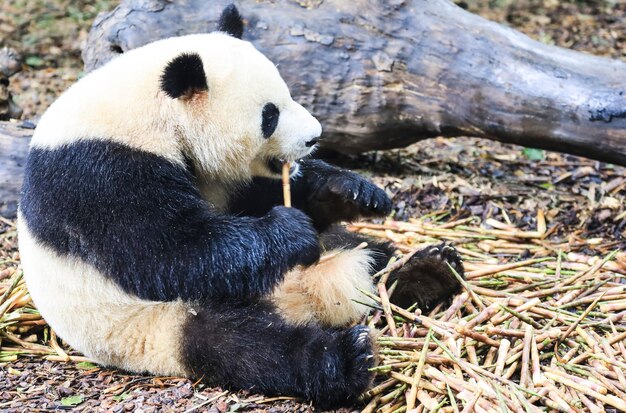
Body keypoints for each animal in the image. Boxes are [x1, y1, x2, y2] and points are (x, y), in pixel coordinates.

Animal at [17, 4, 460, 408]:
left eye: (289, 94)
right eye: (270, 115)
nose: (314, 137)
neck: (149, 108)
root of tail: (303, 298)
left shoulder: (212, 174)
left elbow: (252, 197)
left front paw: (351, 191)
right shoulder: (98, 172)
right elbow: (166, 251)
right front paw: (289, 231)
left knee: (370, 253)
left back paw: (429, 270)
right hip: (156, 325)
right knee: (244, 346)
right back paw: (345, 359)